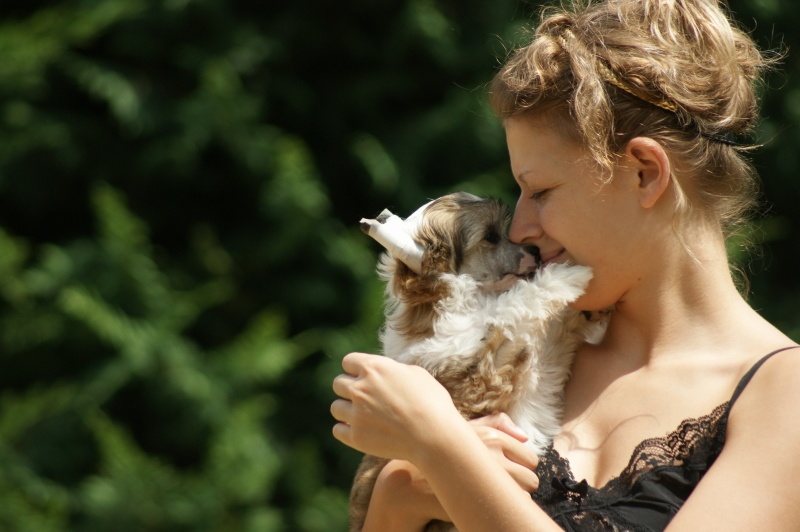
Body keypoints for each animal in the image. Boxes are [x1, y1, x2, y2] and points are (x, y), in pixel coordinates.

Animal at [349, 192, 603, 531]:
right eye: (492, 237)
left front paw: (589, 314)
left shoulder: (536, 382)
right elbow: (513, 304)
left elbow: (547, 342)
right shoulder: (486, 376)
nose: (535, 250)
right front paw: (570, 275)